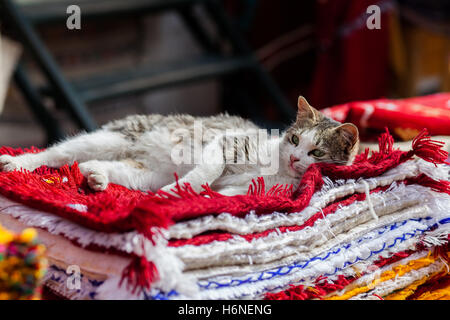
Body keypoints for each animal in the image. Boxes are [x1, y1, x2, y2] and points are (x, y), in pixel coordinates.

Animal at [0, 96, 358, 196]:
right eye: (295, 139)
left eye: (316, 152)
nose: (296, 158)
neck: (280, 170)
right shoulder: (228, 142)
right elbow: (207, 171)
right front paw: (181, 190)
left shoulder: (251, 191)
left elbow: (222, 194)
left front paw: (185, 195)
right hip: (109, 137)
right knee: (55, 153)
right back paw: (18, 164)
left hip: (143, 174)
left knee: (109, 169)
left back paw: (96, 177)